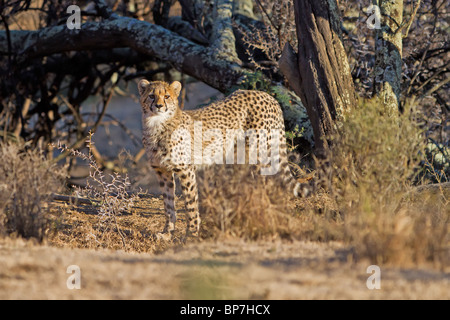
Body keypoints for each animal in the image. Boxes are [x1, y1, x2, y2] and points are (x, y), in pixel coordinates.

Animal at [137, 80, 302, 240]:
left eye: (166, 96)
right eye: (151, 96)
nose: (159, 106)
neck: (156, 125)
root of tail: (265, 95)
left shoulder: (186, 170)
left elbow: (191, 204)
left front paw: (192, 234)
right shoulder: (162, 172)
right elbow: (168, 204)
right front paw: (167, 233)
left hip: (259, 154)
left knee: (267, 185)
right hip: (240, 157)